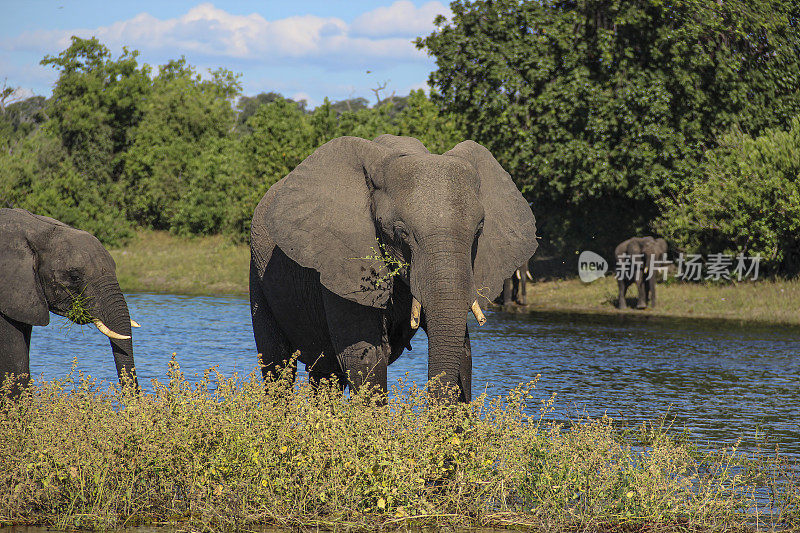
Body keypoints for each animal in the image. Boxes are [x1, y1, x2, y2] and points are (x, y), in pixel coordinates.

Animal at [250, 135, 536, 402]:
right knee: (277, 365)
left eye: (478, 231)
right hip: (258, 268)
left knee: (325, 375)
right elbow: (365, 357)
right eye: (401, 232)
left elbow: (463, 351)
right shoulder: (344, 263)